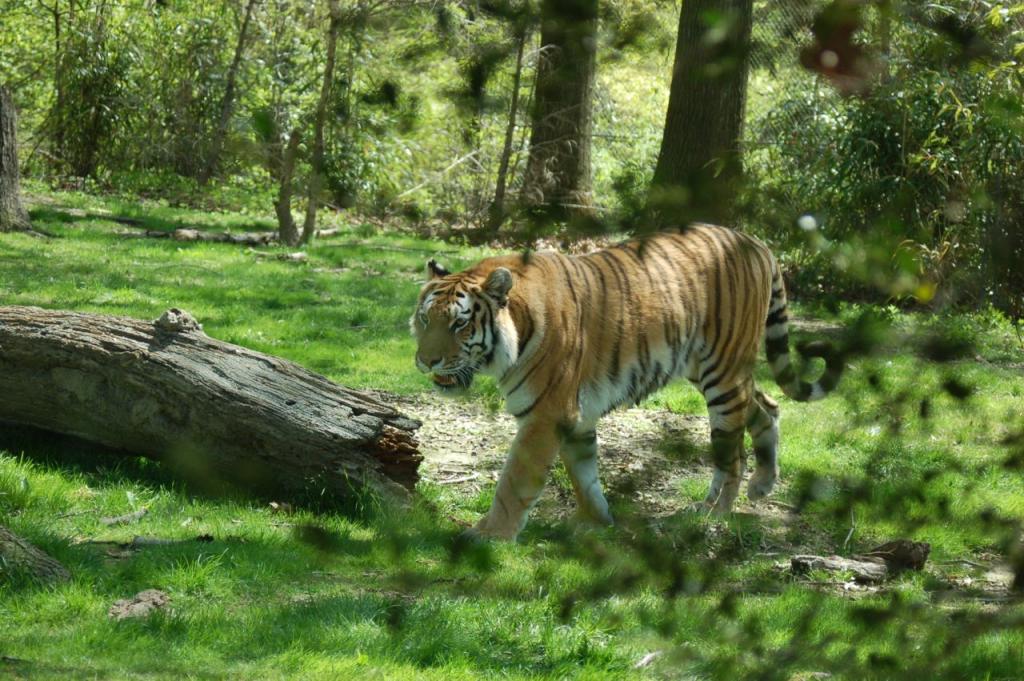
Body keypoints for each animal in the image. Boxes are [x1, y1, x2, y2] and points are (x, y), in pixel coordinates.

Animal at [410, 224, 843, 540]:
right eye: (425, 319)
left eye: (459, 324)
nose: (426, 361)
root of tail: (755, 242)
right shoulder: (576, 416)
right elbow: (583, 474)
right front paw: (596, 522)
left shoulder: (546, 415)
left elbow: (515, 482)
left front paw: (490, 534)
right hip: (709, 368)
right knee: (767, 406)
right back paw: (762, 485)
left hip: (723, 374)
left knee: (731, 454)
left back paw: (713, 512)